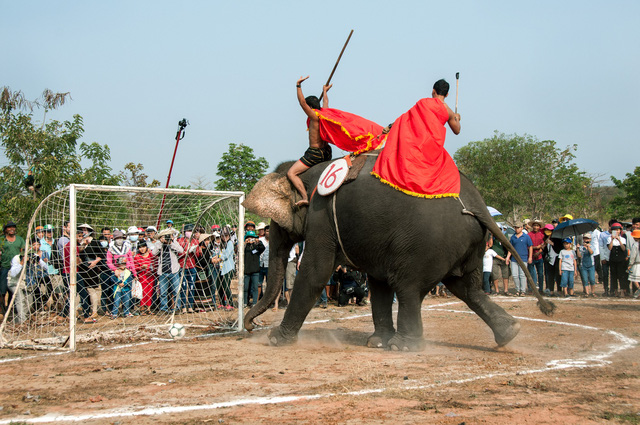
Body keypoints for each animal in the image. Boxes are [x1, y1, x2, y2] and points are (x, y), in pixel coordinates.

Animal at [242, 154, 552, 350]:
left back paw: (403, 346)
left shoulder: (321, 218)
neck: (308, 172)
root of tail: (478, 205)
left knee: (409, 287)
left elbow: (316, 273)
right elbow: (377, 282)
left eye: (276, 224)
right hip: (467, 243)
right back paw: (510, 334)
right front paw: (375, 343)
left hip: (428, 244)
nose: (251, 326)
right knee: (467, 288)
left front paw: (275, 340)